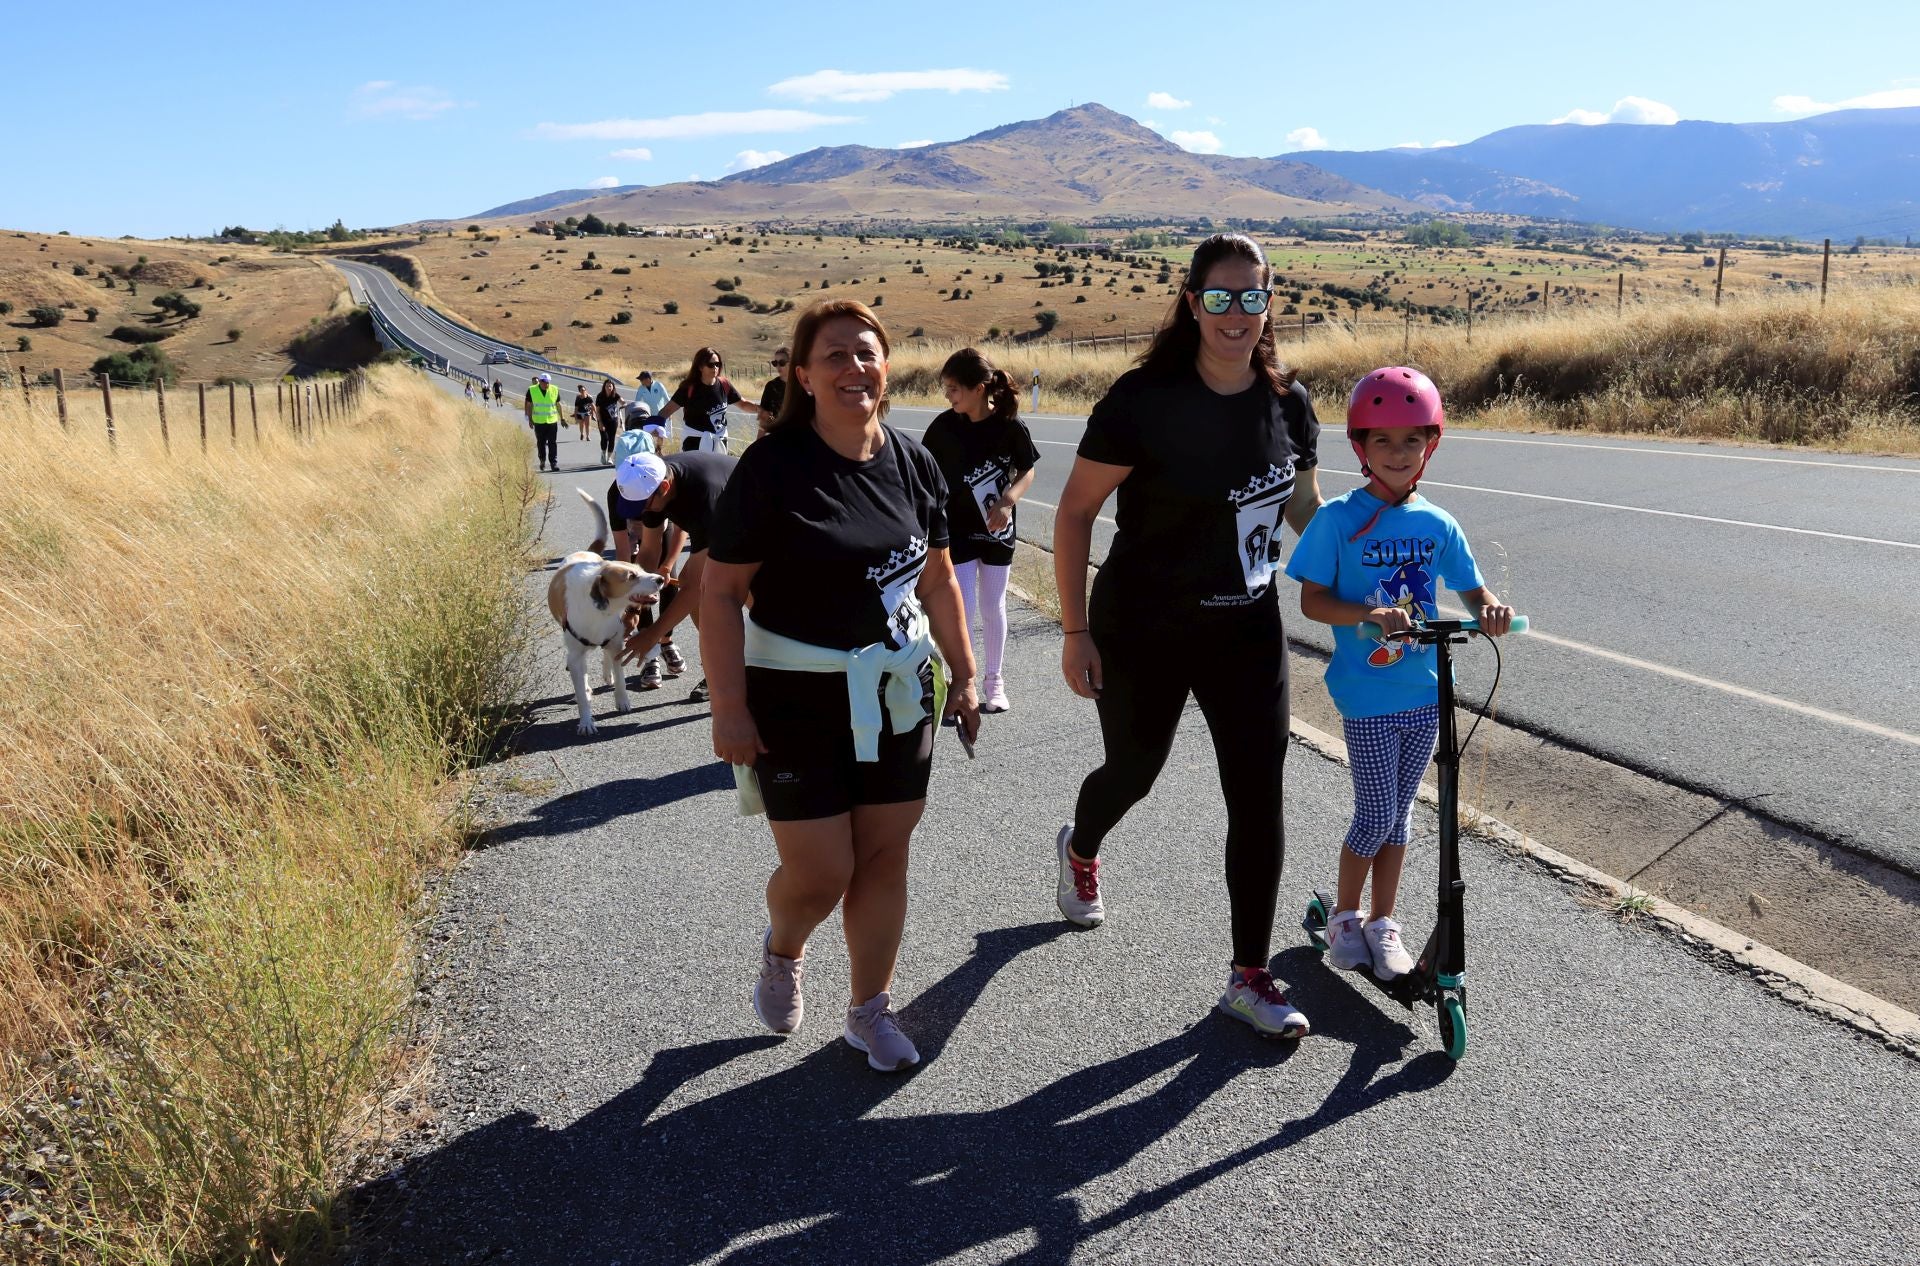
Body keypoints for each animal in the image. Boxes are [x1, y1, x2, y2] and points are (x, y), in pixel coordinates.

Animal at [552, 489, 672, 737]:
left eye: (641, 569)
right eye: (631, 576)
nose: (659, 578)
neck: (601, 613)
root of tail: (586, 552)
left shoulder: (617, 643)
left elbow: (620, 678)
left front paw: (622, 701)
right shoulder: (575, 656)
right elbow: (581, 693)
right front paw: (586, 721)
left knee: (606, 656)